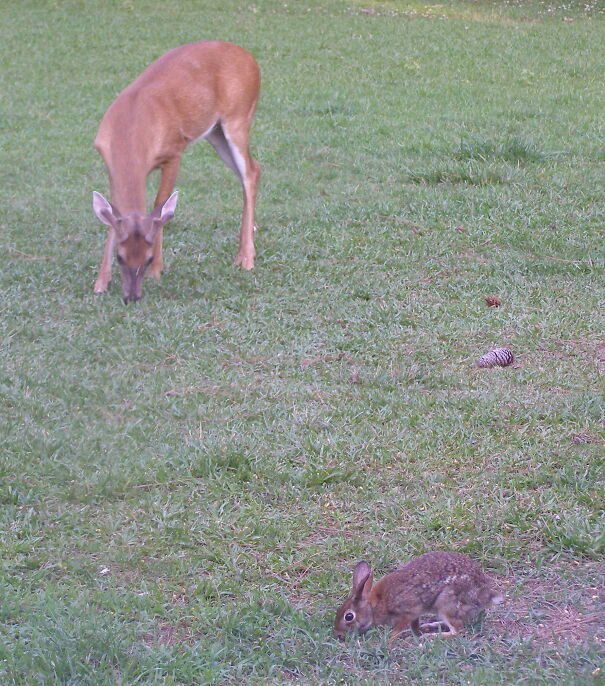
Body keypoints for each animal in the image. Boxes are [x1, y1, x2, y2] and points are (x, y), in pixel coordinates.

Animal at [334, 551, 503, 641]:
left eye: (349, 616)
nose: (338, 634)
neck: (373, 606)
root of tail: (485, 594)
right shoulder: (415, 614)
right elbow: (414, 625)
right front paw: (417, 631)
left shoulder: (407, 612)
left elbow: (400, 627)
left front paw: (390, 637)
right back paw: (429, 626)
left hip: (447, 603)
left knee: (457, 630)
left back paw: (431, 636)